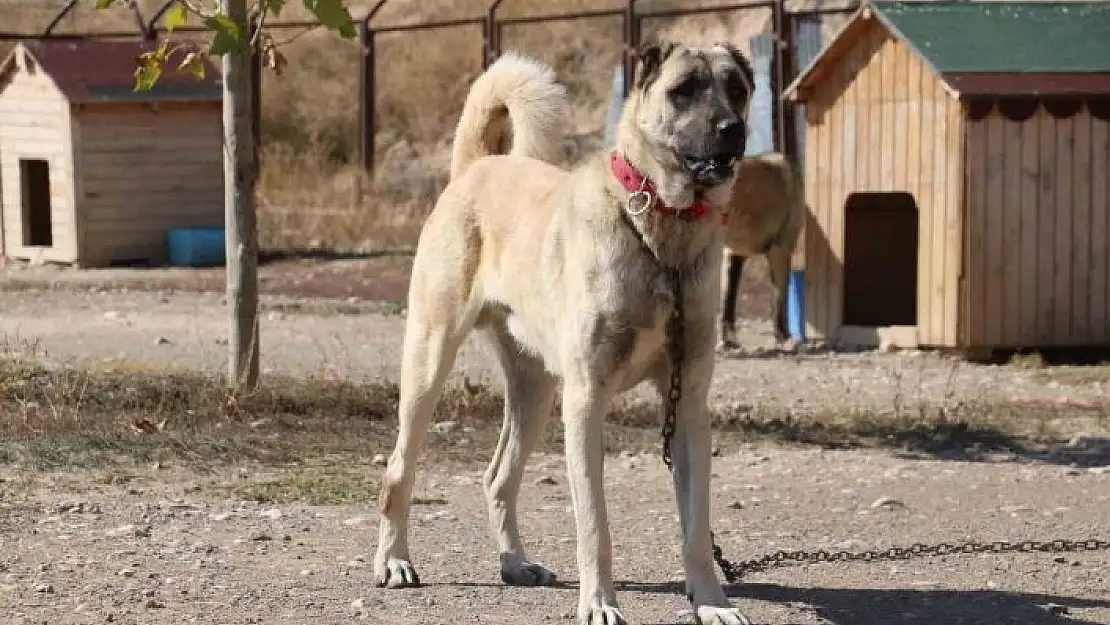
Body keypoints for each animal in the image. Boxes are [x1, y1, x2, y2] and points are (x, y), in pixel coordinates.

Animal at [377, 40, 759, 625]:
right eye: (684, 89)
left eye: (736, 88)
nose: (732, 129)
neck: (660, 229)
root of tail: (478, 165)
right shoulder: (585, 402)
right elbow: (594, 524)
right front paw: (599, 603)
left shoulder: (688, 405)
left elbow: (695, 528)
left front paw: (711, 602)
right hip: (428, 364)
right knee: (399, 469)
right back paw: (394, 561)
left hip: (535, 392)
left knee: (498, 477)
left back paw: (514, 563)